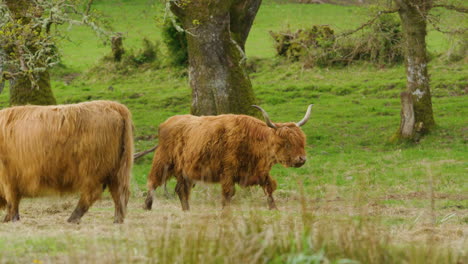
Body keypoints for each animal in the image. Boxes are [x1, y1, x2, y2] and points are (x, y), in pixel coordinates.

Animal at [0, 100, 133, 224]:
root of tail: (113, 105)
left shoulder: (8, 177)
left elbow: (12, 201)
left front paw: (11, 219)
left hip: (93, 168)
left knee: (93, 193)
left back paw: (73, 218)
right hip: (117, 170)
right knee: (119, 193)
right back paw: (117, 221)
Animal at [145, 104, 314, 210]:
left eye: (302, 141)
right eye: (287, 143)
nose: (301, 159)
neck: (251, 140)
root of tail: (167, 122)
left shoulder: (259, 172)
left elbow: (269, 188)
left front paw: (274, 209)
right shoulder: (227, 172)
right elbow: (228, 194)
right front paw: (225, 211)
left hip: (184, 171)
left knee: (181, 190)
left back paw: (187, 211)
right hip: (163, 162)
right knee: (153, 182)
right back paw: (147, 207)